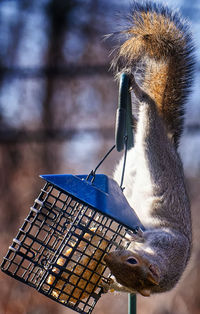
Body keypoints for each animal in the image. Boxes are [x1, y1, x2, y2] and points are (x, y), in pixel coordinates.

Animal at [102, 1, 195, 296]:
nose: (107, 258)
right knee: (149, 109)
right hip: (152, 144)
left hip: (143, 149)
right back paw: (137, 91)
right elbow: (153, 234)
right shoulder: (167, 238)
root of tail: (169, 140)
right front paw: (140, 234)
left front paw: (108, 285)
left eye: (130, 265)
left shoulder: (166, 243)